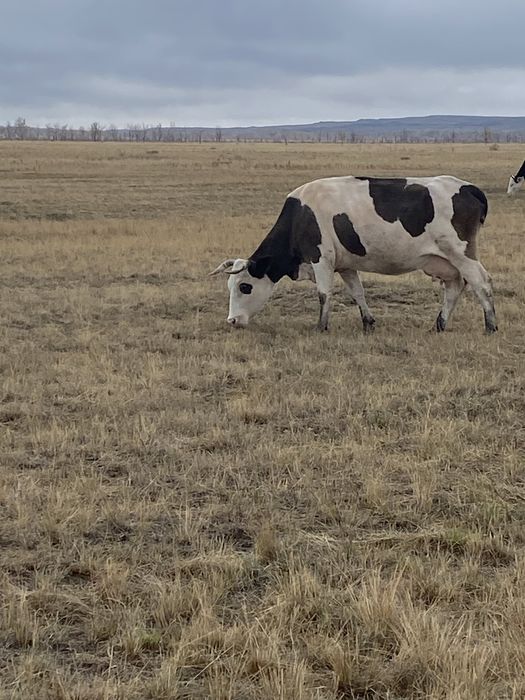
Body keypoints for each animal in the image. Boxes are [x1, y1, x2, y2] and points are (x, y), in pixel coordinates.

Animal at [210, 175, 497, 334]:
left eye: (245, 286)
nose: (232, 320)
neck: (302, 214)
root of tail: (469, 188)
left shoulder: (321, 259)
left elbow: (323, 294)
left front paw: (321, 326)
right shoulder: (345, 265)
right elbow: (357, 292)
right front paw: (368, 322)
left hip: (461, 253)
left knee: (481, 283)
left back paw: (490, 325)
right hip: (445, 262)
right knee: (455, 287)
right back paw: (440, 324)